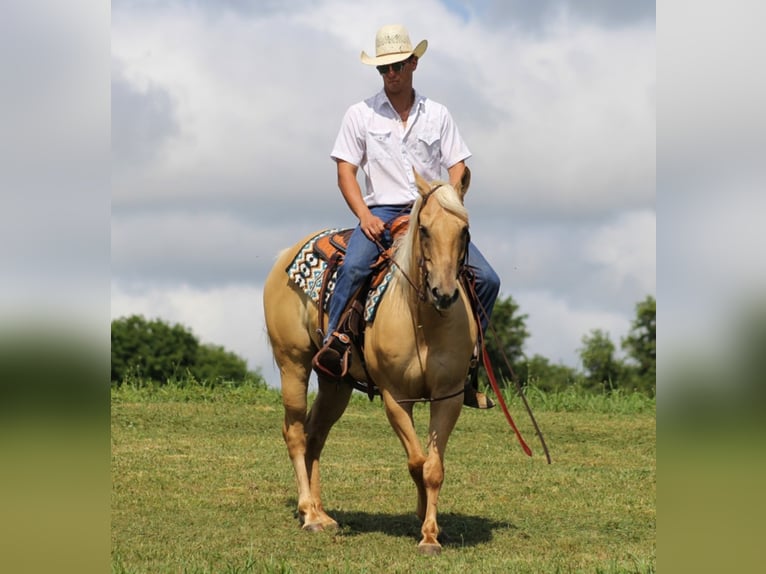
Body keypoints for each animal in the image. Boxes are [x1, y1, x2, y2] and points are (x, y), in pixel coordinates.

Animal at [266, 171, 480, 560]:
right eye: (424, 229)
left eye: (464, 230)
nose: (443, 293)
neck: (423, 318)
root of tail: (285, 255)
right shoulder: (395, 397)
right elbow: (416, 462)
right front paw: (423, 519)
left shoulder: (449, 396)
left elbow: (433, 466)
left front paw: (430, 532)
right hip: (293, 364)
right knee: (295, 433)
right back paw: (309, 515)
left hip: (335, 383)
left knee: (315, 434)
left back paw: (322, 513)